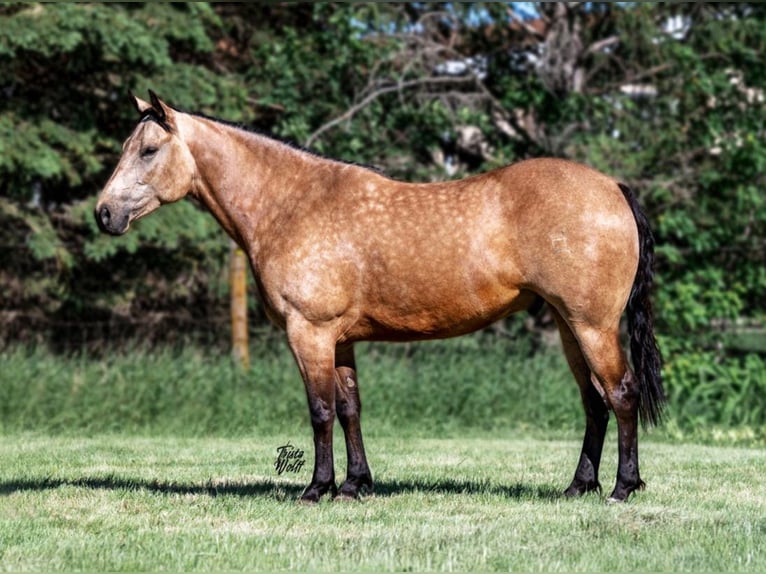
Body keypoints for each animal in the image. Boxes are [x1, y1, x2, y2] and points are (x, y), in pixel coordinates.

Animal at [96, 92, 664, 506]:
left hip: (591, 325)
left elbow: (321, 410)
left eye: (148, 150)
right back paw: (579, 486)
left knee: (621, 393)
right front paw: (355, 484)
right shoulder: (340, 340)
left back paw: (621, 488)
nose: (104, 213)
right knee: (594, 402)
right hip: (570, 327)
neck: (292, 204)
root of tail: (611, 187)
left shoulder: (309, 333)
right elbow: (351, 407)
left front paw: (316, 488)